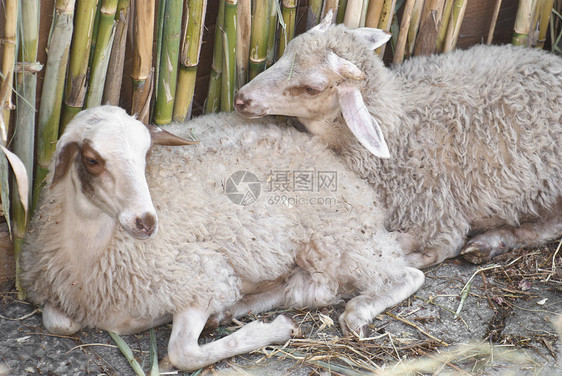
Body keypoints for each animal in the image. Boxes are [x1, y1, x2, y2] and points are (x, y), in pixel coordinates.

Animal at [23, 105, 424, 370]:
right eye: (92, 160)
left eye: (146, 154)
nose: (146, 222)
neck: (92, 252)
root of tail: (315, 144)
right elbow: (59, 323)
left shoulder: (201, 277)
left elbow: (184, 354)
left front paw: (274, 331)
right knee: (304, 289)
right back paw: (234, 310)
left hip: (336, 234)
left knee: (404, 275)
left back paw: (357, 312)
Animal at [234, 13, 560, 268]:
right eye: (287, 51)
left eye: (312, 88)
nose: (241, 99)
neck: (399, 122)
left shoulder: (436, 209)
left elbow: (441, 243)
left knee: (549, 228)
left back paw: (489, 243)